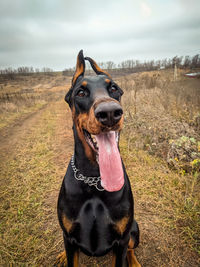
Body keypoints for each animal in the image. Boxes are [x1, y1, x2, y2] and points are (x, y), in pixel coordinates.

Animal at [56, 50, 141, 267]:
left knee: (131, 249)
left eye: (114, 88)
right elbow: (71, 256)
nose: (110, 113)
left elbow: (122, 252)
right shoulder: (69, 237)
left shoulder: (121, 240)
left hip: (134, 229)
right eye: (80, 93)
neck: (94, 180)